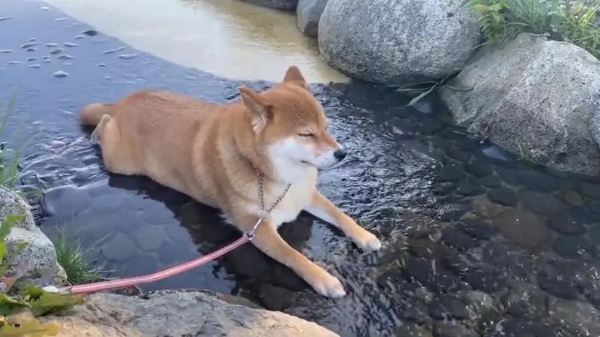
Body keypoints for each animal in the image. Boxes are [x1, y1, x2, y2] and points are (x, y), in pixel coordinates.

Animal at [79, 65, 382, 296]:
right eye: (306, 134)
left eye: (326, 128)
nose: (342, 153)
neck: (270, 176)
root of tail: (126, 101)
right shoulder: (256, 227)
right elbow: (292, 255)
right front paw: (324, 279)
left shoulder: (303, 194)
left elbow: (340, 215)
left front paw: (365, 236)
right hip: (121, 163)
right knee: (103, 120)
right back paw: (98, 130)